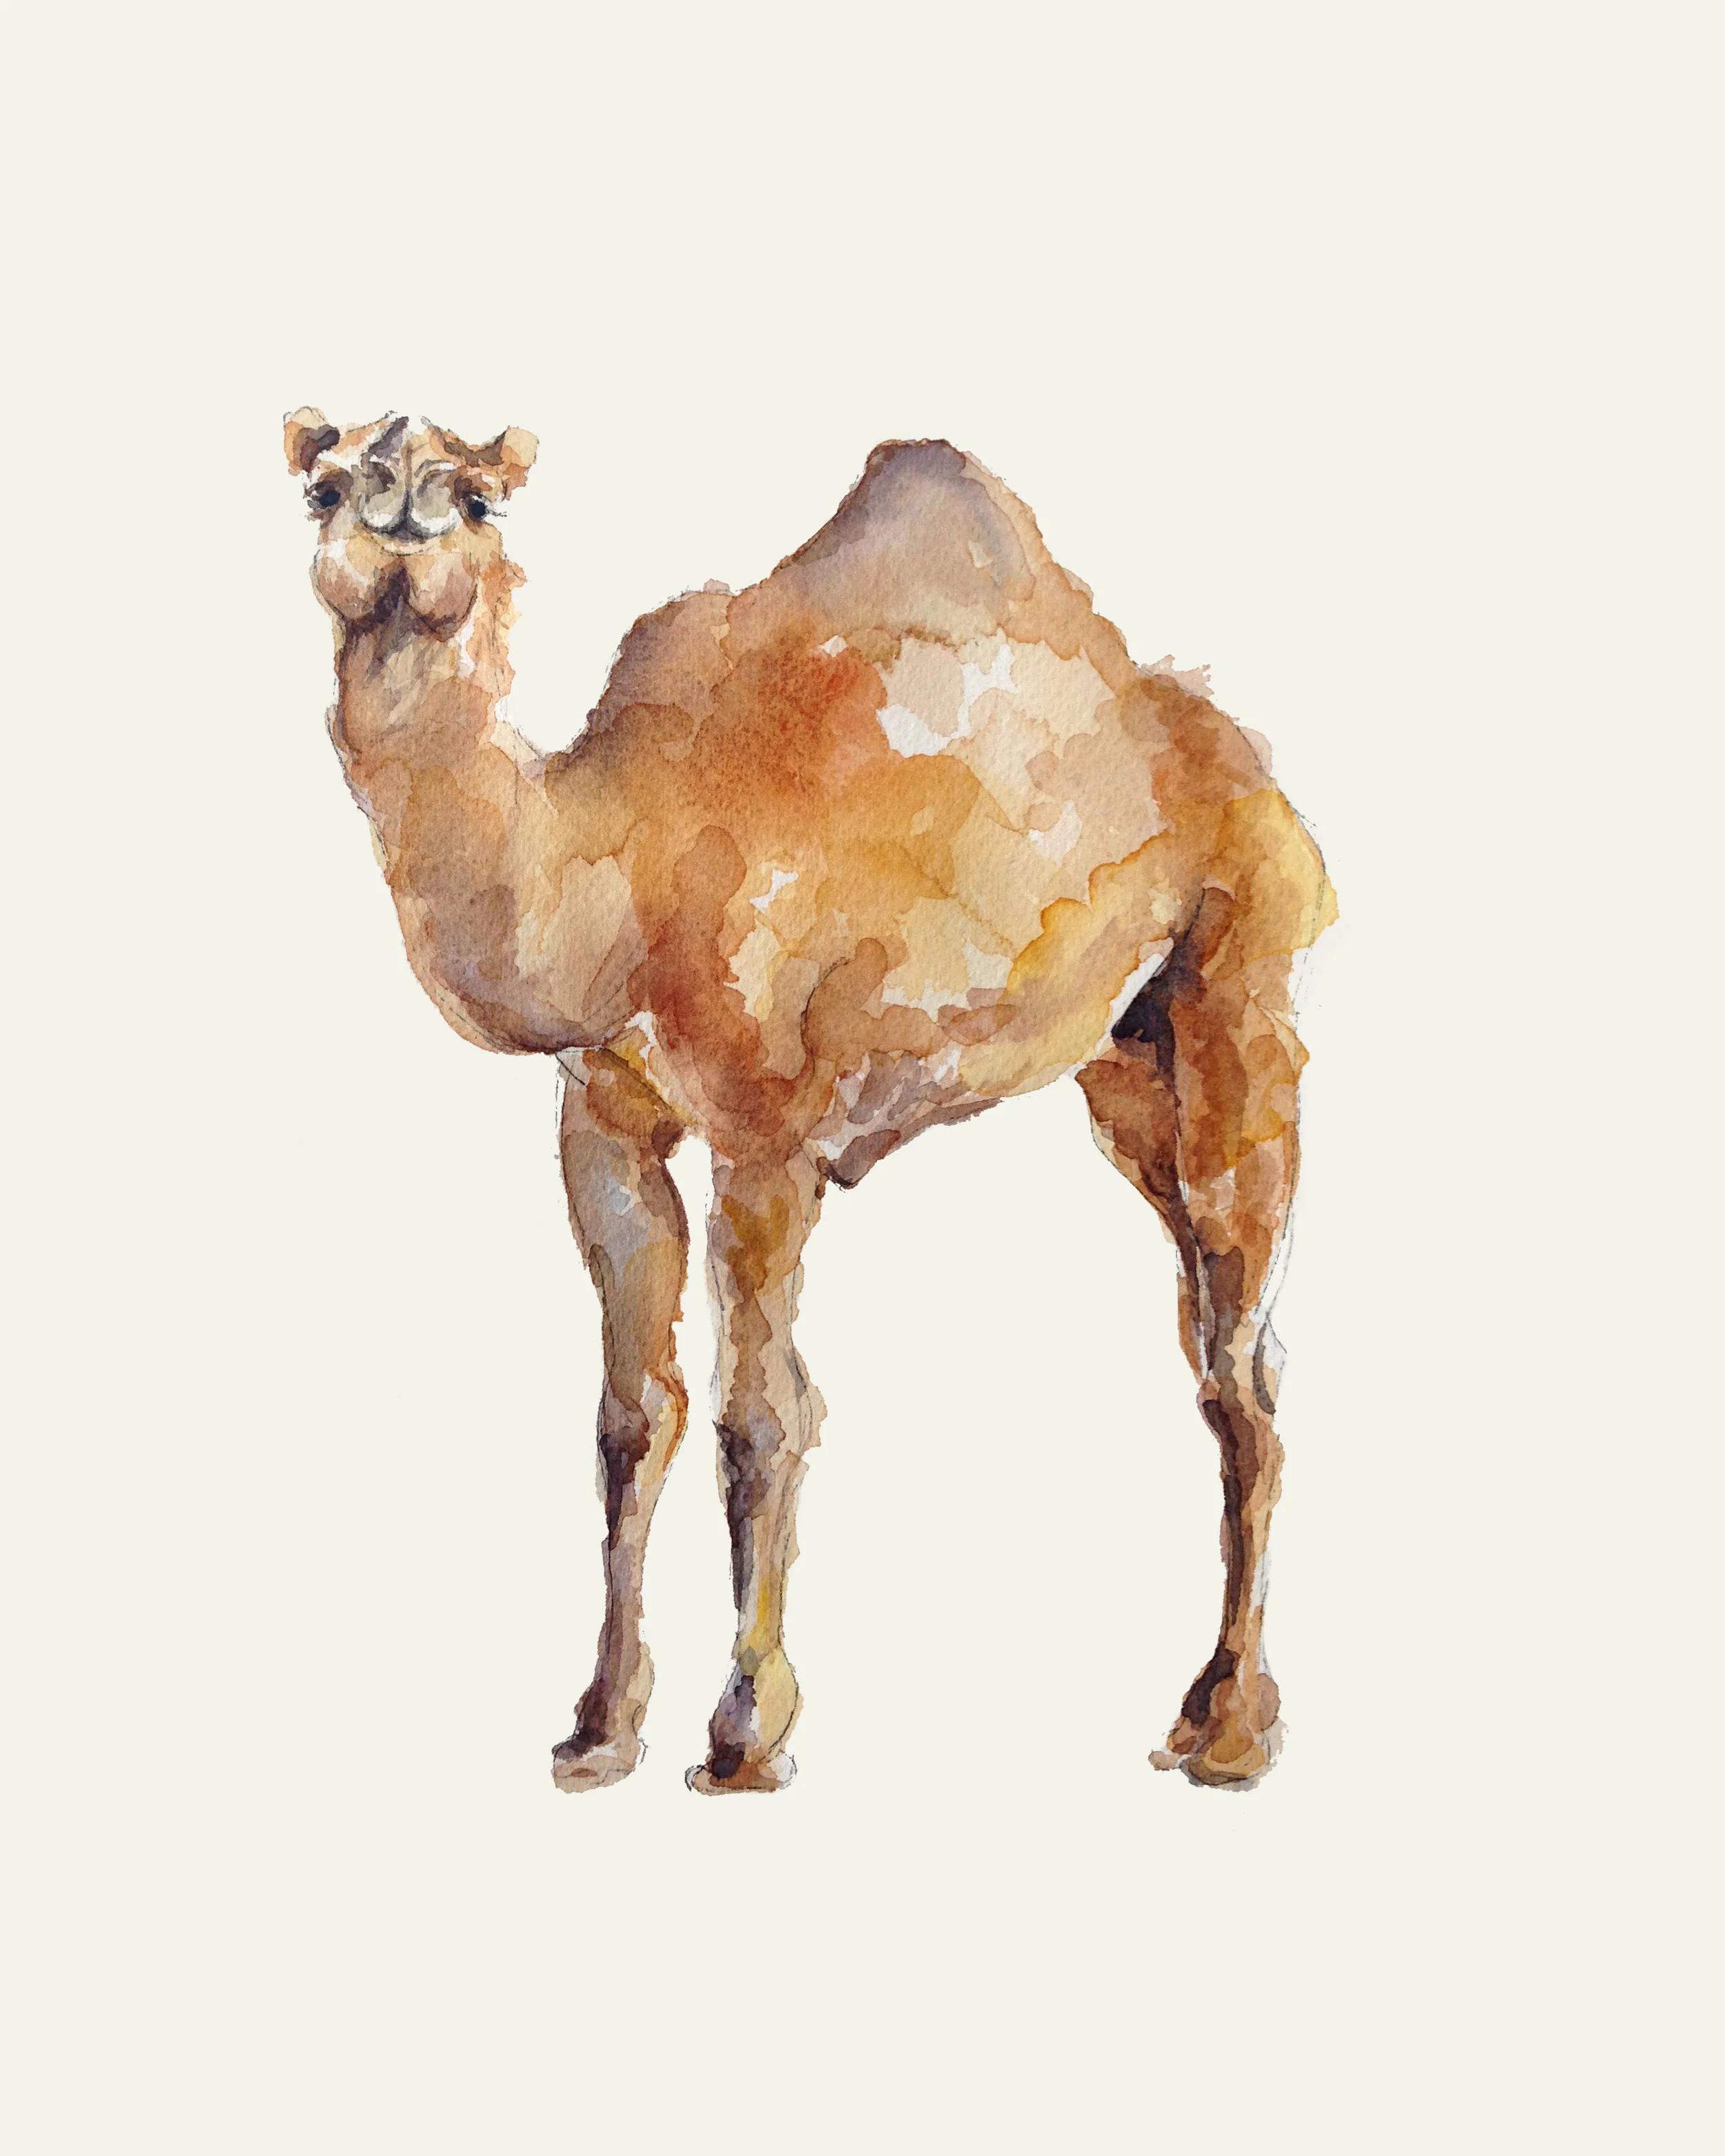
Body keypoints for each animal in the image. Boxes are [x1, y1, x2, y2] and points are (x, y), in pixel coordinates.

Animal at [284, 409, 1336, 1793]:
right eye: (321, 485)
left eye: (475, 494)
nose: (397, 487)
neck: (613, 874)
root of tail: (1232, 750)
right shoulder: (601, 1121)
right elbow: (632, 1418)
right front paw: (598, 1727)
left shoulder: (769, 1130)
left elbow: (763, 1416)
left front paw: (743, 1734)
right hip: (1124, 1062)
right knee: (1213, 1343)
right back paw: (1204, 1709)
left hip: (1242, 981)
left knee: (1242, 1355)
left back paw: (1233, 1731)